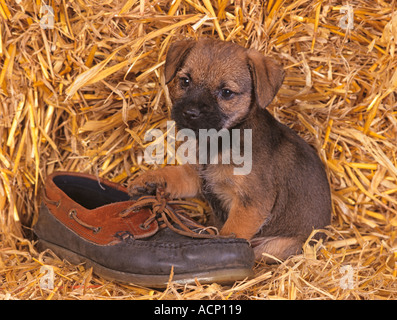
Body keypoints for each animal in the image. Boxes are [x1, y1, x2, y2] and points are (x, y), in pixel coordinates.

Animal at [127, 38, 332, 262]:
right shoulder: (196, 178)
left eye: (226, 92)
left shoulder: (251, 205)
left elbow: (230, 233)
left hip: (276, 246)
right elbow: (173, 176)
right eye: (185, 81)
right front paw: (149, 180)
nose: (190, 112)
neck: (217, 142)